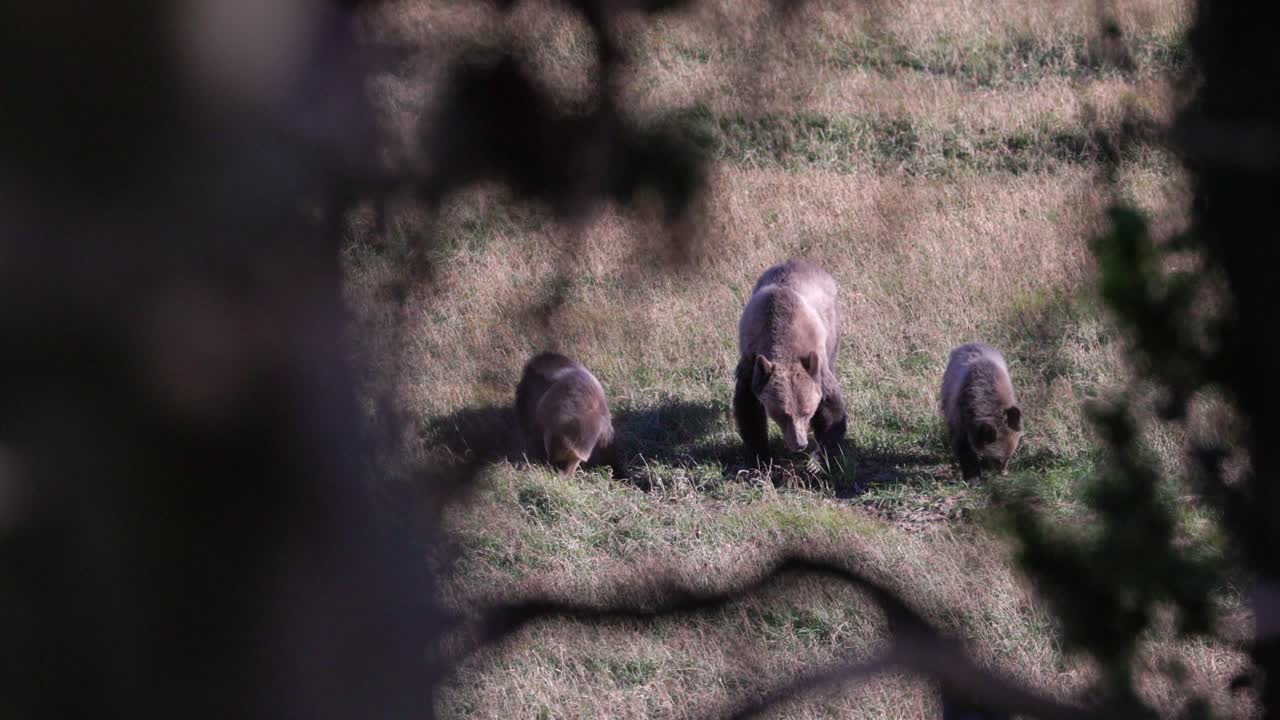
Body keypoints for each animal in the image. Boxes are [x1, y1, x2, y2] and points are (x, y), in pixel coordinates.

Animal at [734, 259, 847, 460]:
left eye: (807, 412)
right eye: (782, 414)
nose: (799, 443)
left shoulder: (816, 360)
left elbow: (831, 406)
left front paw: (820, 456)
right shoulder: (751, 359)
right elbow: (749, 408)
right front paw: (761, 454)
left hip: (833, 329)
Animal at [940, 342, 1023, 481]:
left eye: (1009, 457)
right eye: (997, 459)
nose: (1003, 473)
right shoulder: (960, 417)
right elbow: (963, 446)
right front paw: (973, 477)